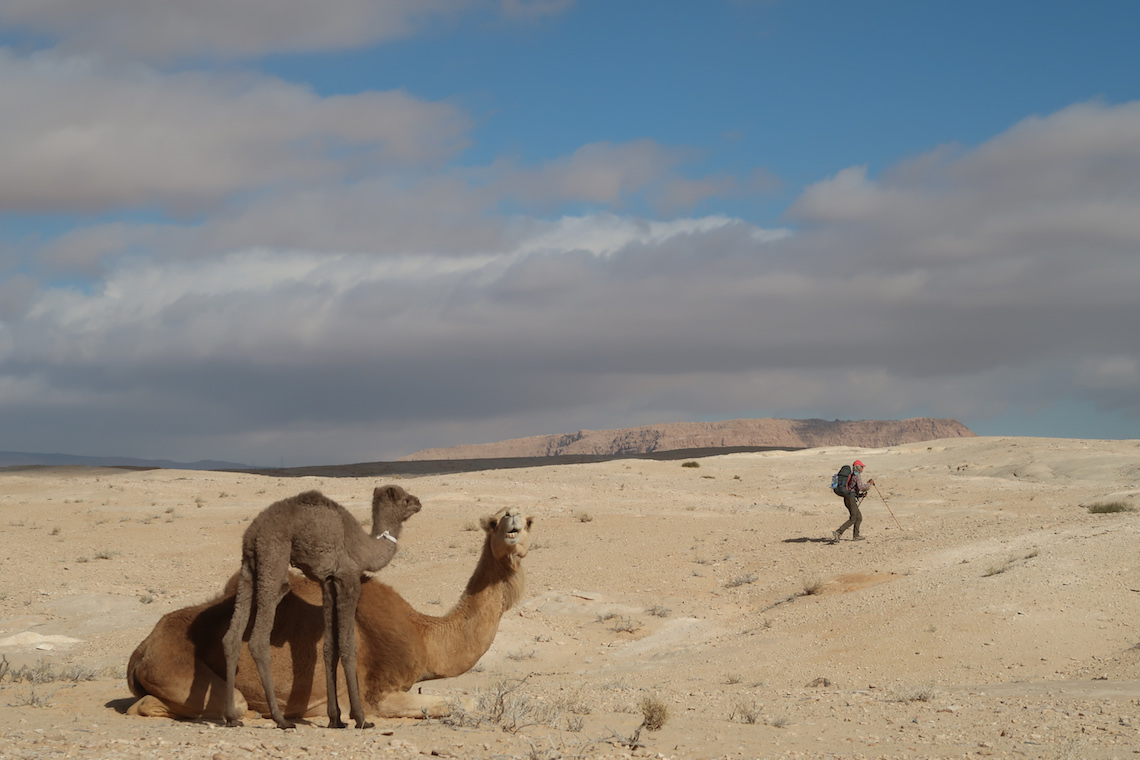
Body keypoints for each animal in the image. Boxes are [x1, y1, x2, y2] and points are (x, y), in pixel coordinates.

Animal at [127, 505, 531, 724]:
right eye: (494, 522)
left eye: (530, 521)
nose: (512, 519)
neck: (424, 634)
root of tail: (142, 648)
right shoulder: (379, 693)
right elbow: (464, 701)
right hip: (174, 666)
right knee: (150, 704)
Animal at [220, 485, 421, 729]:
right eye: (405, 500)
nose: (418, 503)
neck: (364, 549)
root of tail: (254, 531)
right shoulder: (348, 578)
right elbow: (347, 646)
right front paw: (361, 718)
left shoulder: (327, 582)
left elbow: (329, 647)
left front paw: (336, 718)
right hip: (273, 556)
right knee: (259, 638)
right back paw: (281, 719)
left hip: (248, 567)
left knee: (232, 637)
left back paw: (231, 717)